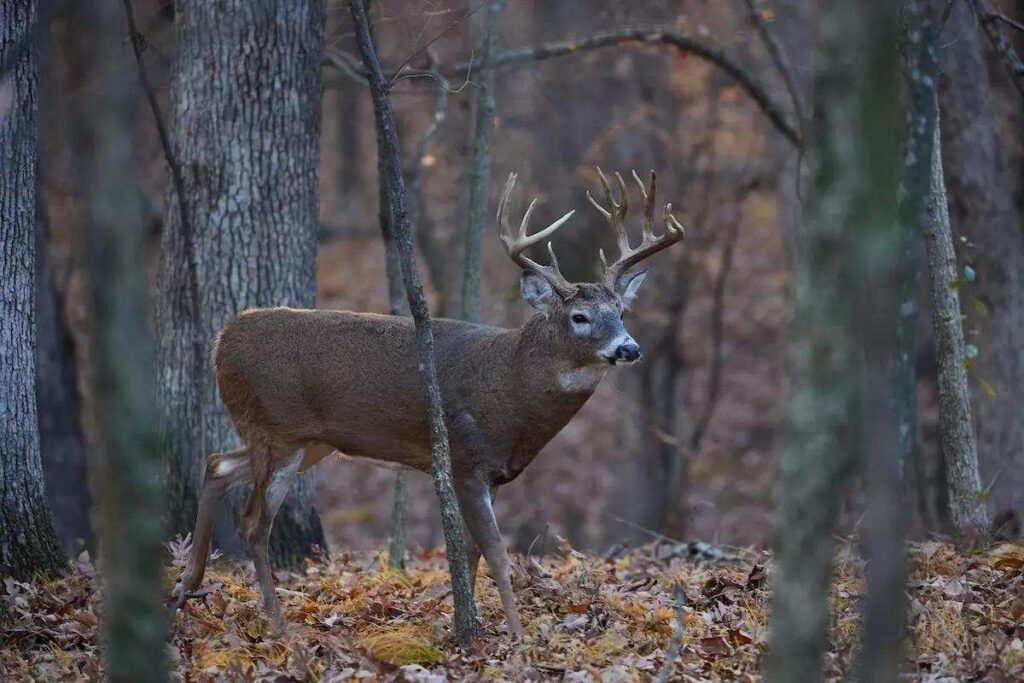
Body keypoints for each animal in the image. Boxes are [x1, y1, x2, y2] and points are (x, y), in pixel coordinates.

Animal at [171, 168, 686, 637]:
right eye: (579, 316)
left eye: (621, 312)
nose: (629, 348)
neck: (511, 391)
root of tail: (222, 340)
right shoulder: (465, 460)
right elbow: (497, 553)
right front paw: (517, 638)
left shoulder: (493, 472)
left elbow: (473, 552)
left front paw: (470, 627)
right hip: (278, 430)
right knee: (253, 522)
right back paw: (277, 625)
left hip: (306, 441)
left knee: (217, 464)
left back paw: (187, 586)